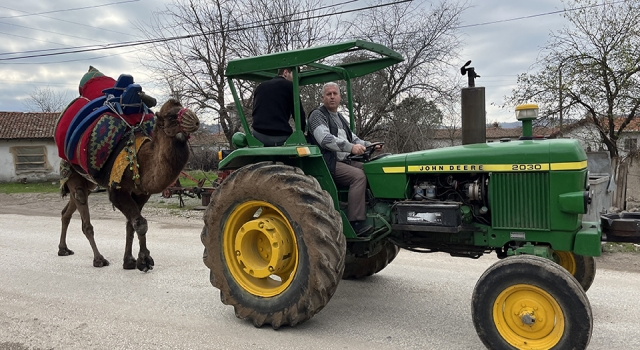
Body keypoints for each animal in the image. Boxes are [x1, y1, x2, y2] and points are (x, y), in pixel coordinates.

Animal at [57, 98, 199, 270]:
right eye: (171, 116)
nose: (195, 120)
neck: (141, 161)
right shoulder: (117, 191)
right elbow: (140, 223)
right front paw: (144, 261)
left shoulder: (141, 193)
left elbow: (131, 224)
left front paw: (129, 261)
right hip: (72, 173)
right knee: (83, 212)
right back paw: (99, 259)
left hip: (88, 183)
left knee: (67, 211)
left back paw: (63, 249)